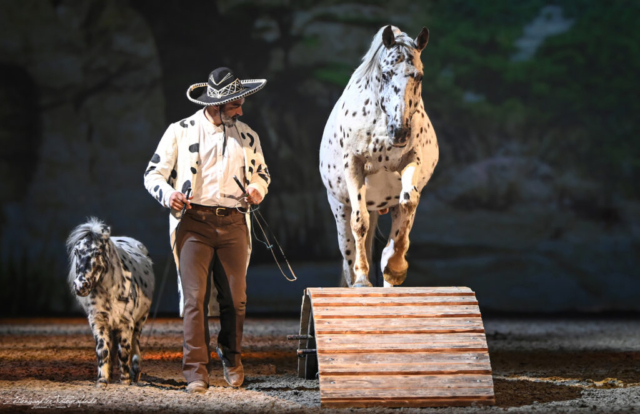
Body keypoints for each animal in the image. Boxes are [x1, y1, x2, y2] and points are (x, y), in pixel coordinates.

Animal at [67, 218, 154, 386]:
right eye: (76, 252)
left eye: (97, 252)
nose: (81, 285)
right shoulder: (98, 322)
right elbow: (103, 350)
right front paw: (102, 380)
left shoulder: (126, 323)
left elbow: (124, 351)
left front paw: (125, 380)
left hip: (140, 320)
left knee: (134, 344)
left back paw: (134, 373)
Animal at [320, 25, 440, 288]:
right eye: (385, 75)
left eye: (419, 76)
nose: (400, 132)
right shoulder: (354, 166)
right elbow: (359, 222)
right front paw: (362, 280)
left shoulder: (410, 160)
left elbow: (408, 201)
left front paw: (395, 267)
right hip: (339, 207)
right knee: (349, 251)